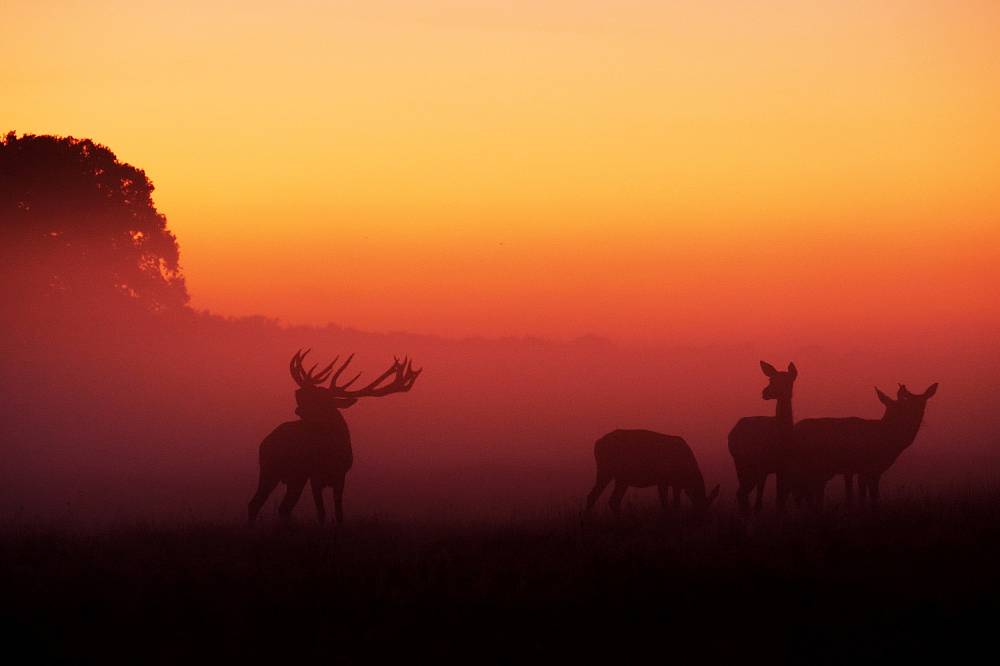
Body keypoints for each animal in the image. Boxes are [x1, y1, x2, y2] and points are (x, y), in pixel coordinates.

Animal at [252, 348, 424, 524]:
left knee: (278, 507)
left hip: (289, 476)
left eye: (323, 399)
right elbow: (321, 513)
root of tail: (265, 442)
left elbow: (339, 513)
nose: (298, 402)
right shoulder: (314, 477)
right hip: (273, 470)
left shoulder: (341, 476)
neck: (331, 452)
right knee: (263, 504)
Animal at [584, 428, 720, 516]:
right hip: (611, 472)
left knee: (606, 499)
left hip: (617, 476)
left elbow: (673, 503)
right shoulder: (664, 479)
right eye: (703, 506)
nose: (699, 517)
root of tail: (597, 444)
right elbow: (668, 503)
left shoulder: (673, 483)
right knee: (602, 498)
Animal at [728, 360, 796, 510]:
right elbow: (759, 503)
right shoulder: (763, 466)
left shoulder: (784, 468)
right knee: (742, 493)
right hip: (741, 463)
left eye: (787, 381)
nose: (765, 392)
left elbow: (780, 501)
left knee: (741, 492)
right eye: (771, 379)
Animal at [788, 378, 936, 508]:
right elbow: (869, 495)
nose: (916, 416)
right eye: (902, 406)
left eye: (923, 403)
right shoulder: (866, 467)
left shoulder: (869, 469)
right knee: (803, 494)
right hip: (807, 466)